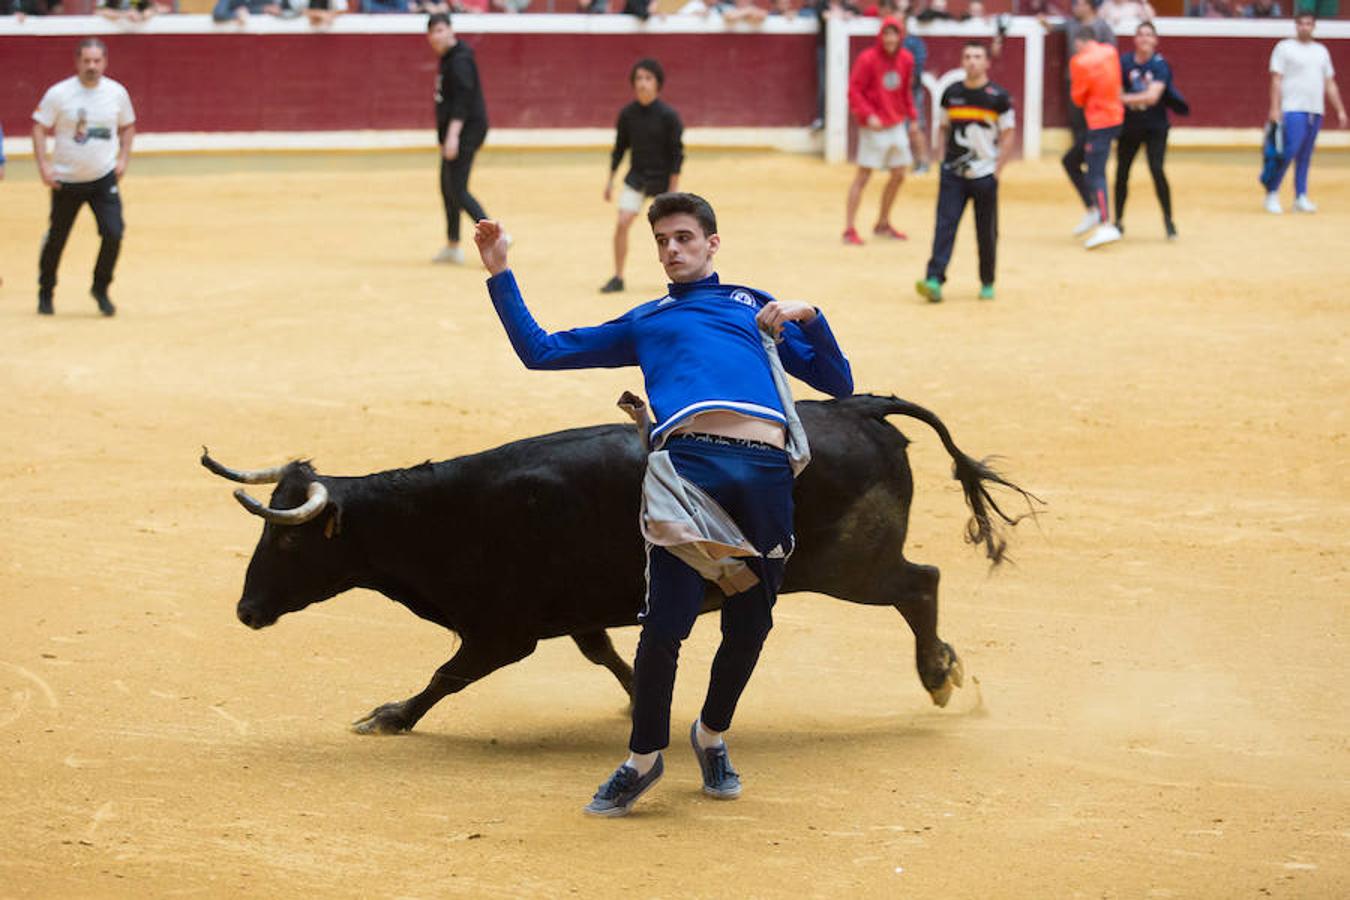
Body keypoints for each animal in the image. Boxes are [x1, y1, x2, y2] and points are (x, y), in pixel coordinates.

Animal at [199, 396, 1026, 734]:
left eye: (287, 542)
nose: (245, 610)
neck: (439, 512)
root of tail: (857, 408)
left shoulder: (501, 633)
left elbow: (445, 675)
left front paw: (389, 717)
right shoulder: (575, 614)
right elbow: (606, 655)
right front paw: (645, 704)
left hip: (850, 567)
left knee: (921, 585)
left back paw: (938, 675)